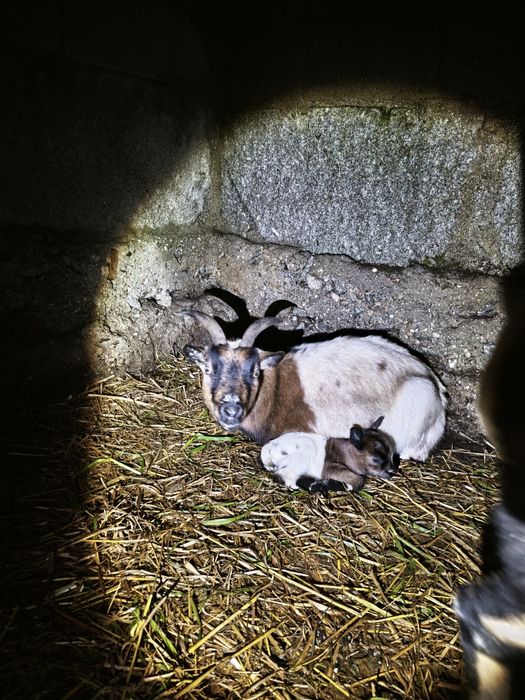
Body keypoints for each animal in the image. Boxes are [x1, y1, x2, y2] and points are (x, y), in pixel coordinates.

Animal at [260, 416, 399, 493]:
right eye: (376, 459)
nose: (392, 471)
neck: (345, 453)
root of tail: (270, 447)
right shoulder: (329, 467)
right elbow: (358, 481)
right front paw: (334, 484)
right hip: (302, 455)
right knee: (284, 476)